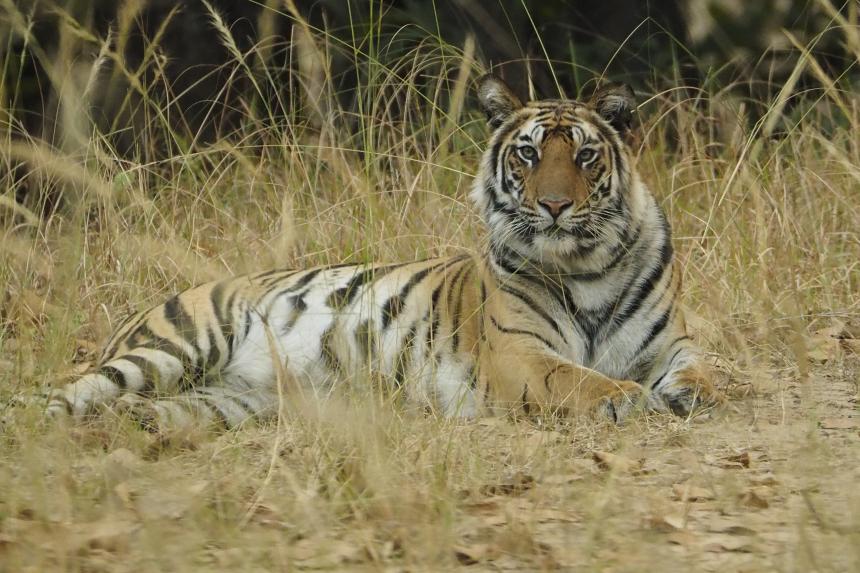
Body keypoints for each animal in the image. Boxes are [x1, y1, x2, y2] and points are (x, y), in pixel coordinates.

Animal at [35, 73, 720, 426]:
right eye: (527, 153)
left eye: (584, 155)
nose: (554, 205)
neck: (588, 265)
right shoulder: (519, 355)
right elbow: (579, 379)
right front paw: (626, 398)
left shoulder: (672, 340)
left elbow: (704, 369)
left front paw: (687, 394)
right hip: (173, 346)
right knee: (70, 392)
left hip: (228, 399)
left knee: (149, 411)